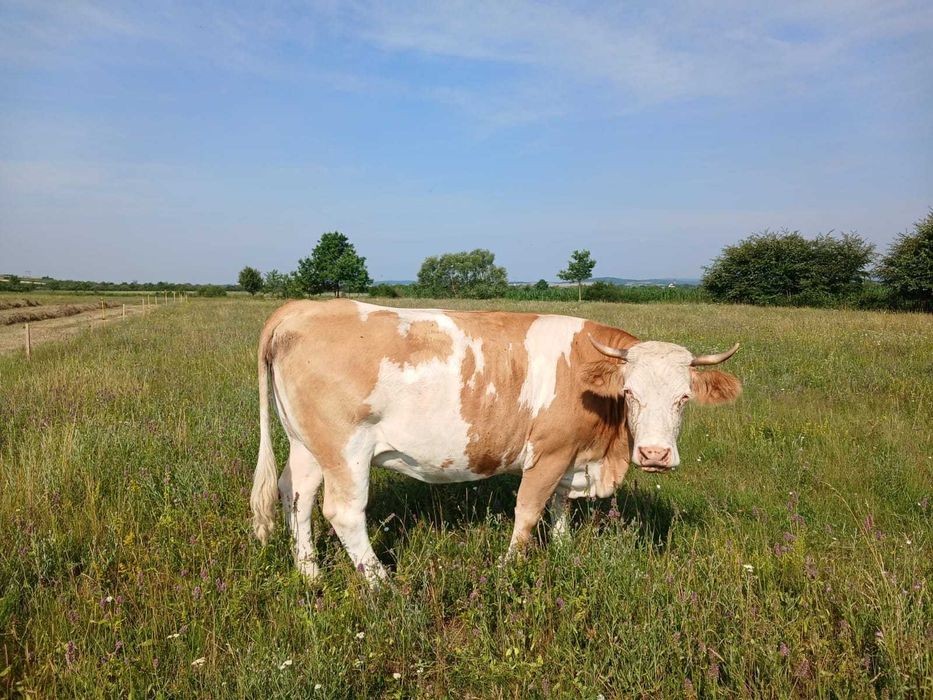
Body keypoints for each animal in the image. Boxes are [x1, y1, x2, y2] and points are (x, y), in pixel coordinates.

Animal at [250, 299, 742, 582]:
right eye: (631, 393)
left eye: (683, 398)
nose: (655, 453)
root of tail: (300, 308)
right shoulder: (550, 452)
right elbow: (528, 511)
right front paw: (509, 570)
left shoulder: (569, 456)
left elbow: (560, 506)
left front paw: (564, 550)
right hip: (345, 448)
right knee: (343, 512)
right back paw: (381, 585)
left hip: (306, 444)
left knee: (296, 495)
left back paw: (310, 573)